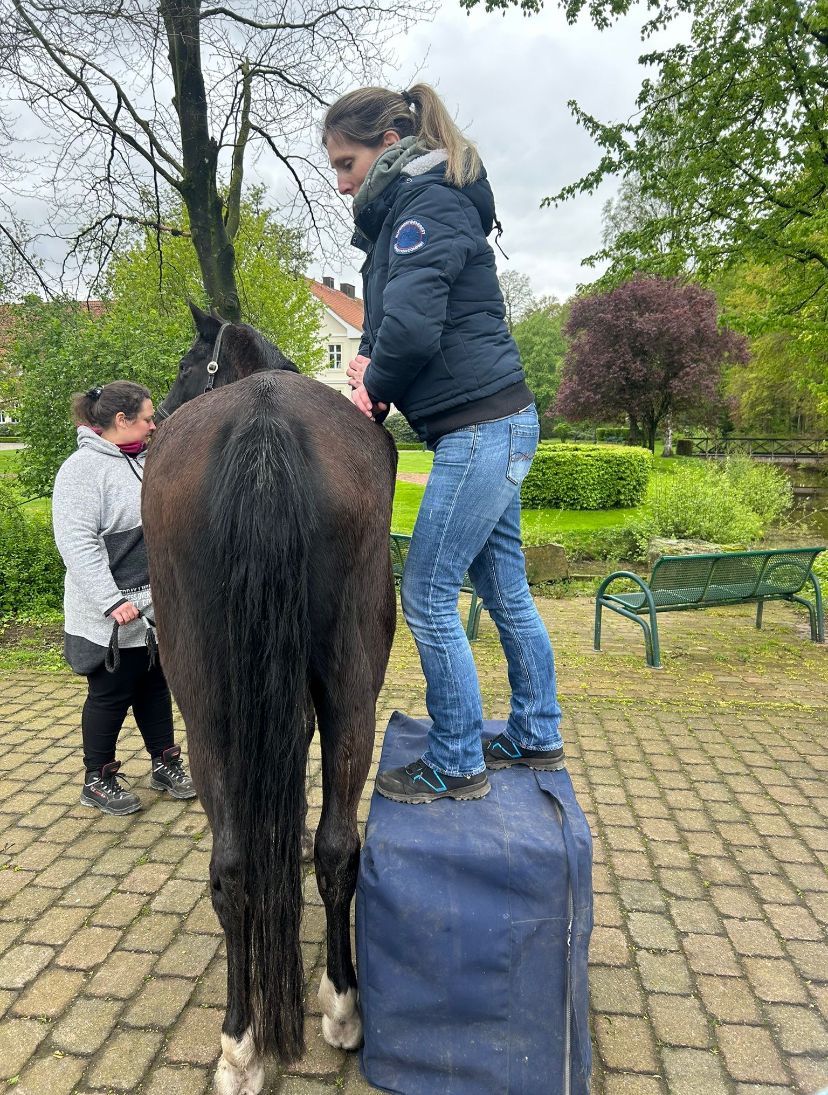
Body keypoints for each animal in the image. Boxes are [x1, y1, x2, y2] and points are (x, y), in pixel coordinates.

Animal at [142, 302, 397, 1095]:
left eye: (187, 364)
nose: (156, 415)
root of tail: (263, 422)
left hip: (206, 709)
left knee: (245, 866)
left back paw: (248, 1038)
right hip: (344, 691)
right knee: (328, 848)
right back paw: (327, 1009)